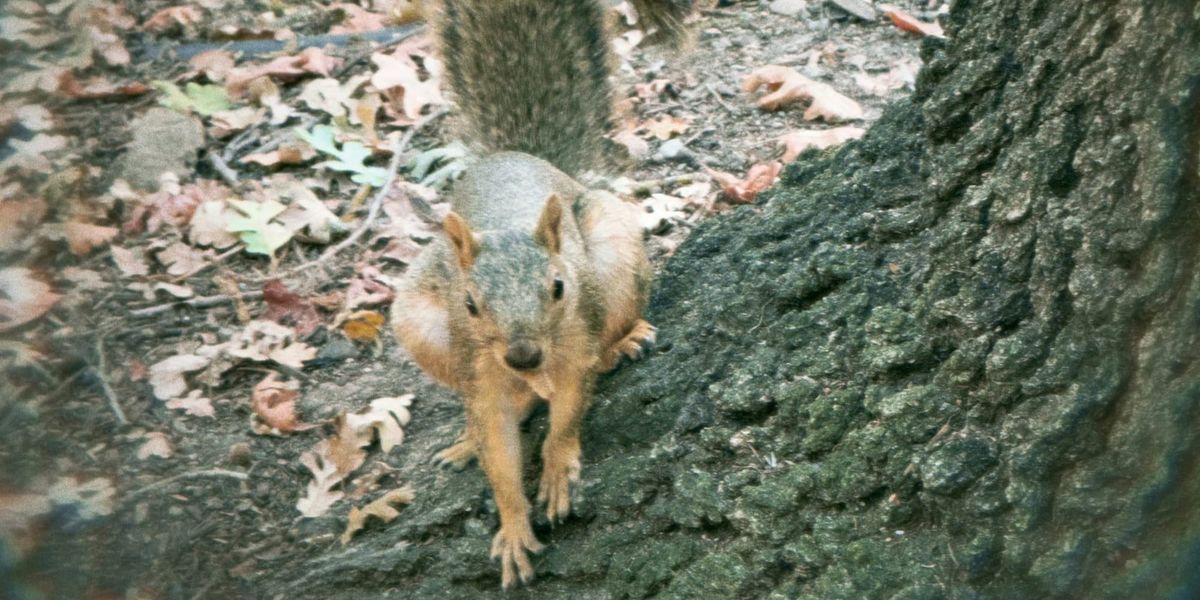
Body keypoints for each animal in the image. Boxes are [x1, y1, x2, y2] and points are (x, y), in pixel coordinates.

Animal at [389, 0, 692, 589]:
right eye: (469, 304)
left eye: (558, 287)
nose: (524, 356)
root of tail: (515, 154)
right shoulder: (481, 369)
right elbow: (499, 450)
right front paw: (512, 527)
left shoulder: (575, 341)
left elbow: (570, 407)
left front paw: (556, 469)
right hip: (417, 321)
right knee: (504, 405)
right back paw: (468, 439)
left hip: (617, 247)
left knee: (608, 337)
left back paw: (626, 341)